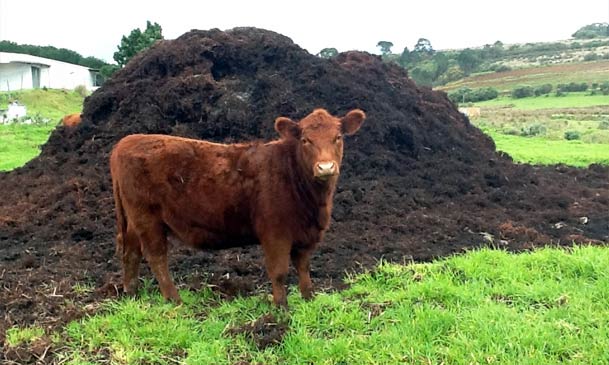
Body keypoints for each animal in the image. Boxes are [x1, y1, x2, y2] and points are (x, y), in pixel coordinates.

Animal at [110, 107, 366, 304]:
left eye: (338, 138)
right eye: (305, 140)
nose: (326, 167)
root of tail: (126, 141)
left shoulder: (305, 235)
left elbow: (303, 267)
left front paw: (308, 299)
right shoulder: (275, 233)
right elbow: (279, 272)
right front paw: (281, 307)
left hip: (134, 220)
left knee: (131, 251)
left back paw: (131, 294)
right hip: (147, 218)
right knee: (156, 256)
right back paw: (175, 300)